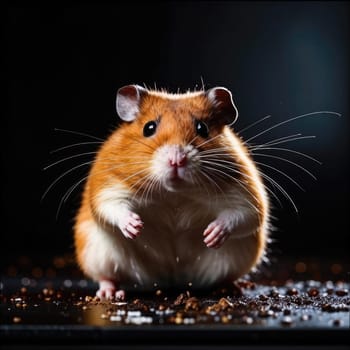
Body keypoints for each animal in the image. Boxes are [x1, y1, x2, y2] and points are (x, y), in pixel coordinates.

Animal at [74, 84, 268, 298]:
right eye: (149, 128)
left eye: (202, 128)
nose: (177, 160)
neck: (175, 193)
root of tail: (170, 278)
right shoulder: (108, 186)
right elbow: (113, 207)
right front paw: (135, 226)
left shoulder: (246, 194)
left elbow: (242, 215)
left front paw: (212, 235)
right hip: (99, 254)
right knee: (107, 276)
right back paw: (109, 293)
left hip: (235, 257)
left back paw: (232, 287)